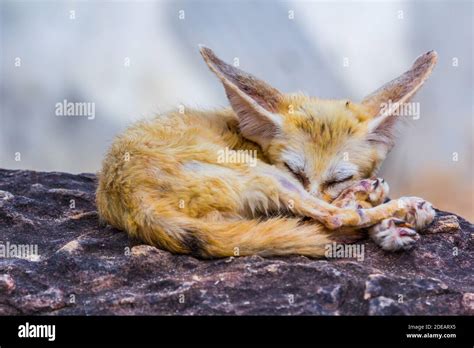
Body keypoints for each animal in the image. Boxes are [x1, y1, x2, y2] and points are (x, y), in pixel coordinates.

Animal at [95, 46, 436, 256]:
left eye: (339, 178)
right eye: (295, 170)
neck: (246, 137)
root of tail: (130, 199)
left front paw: (382, 221)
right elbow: (334, 213)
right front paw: (384, 212)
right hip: (262, 175)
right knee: (332, 218)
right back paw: (396, 204)